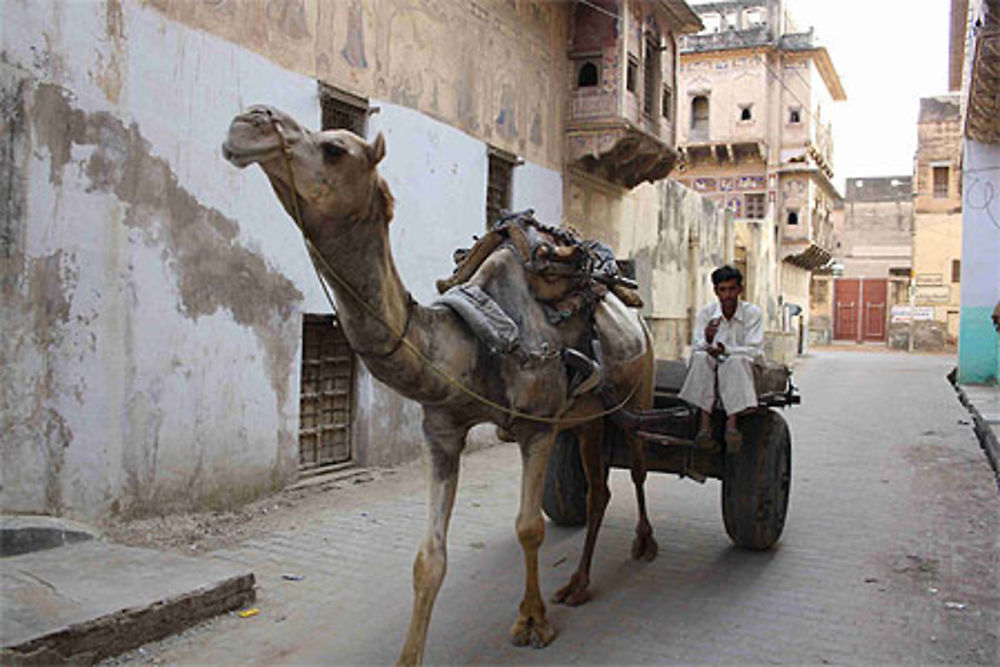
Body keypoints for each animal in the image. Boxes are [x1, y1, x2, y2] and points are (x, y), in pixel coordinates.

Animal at [224, 104, 660, 664]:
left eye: (335, 148)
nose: (250, 121)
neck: (477, 336)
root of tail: (635, 310)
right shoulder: (443, 431)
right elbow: (428, 558)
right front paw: (409, 656)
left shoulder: (538, 426)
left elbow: (530, 527)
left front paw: (532, 622)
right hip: (588, 416)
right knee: (598, 490)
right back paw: (579, 584)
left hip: (639, 390)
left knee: (639, 466)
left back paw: (644, 545)